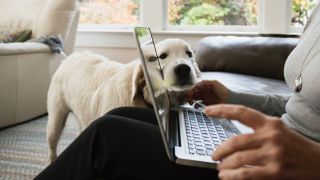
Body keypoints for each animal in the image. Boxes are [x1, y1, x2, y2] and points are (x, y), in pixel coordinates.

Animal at [46, 38, 201, 162]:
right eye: (161, 56)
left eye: (189, 54)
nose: (183, 68)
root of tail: (71, 56)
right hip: (56, 119)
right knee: (52, 147)